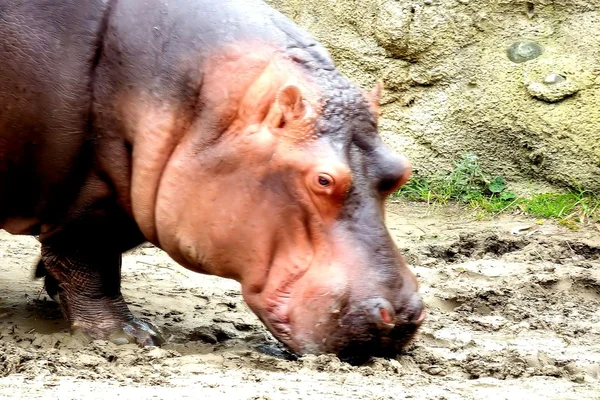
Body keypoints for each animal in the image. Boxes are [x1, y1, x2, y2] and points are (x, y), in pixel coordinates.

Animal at [0, 0, 422, 362]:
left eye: (401, 169)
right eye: (323, 180)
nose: (402, 317)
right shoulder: (94, 195)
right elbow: (91, 262)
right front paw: (132, 336)